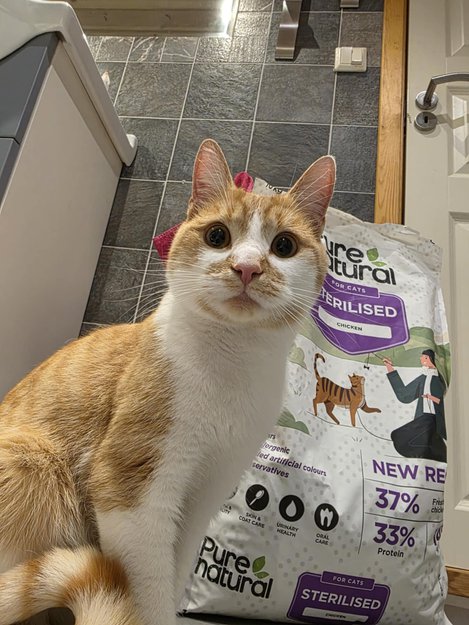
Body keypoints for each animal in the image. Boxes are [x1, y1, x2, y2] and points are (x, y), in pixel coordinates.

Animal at [0, 139, 336, 625]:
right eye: (217, 236)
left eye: (284, 245)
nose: (247, 267)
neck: (230, 367)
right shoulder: (130, 490)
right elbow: (150, 591)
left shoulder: (205, 495)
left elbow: (175, 573)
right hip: (34, 463)